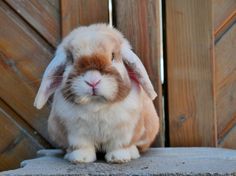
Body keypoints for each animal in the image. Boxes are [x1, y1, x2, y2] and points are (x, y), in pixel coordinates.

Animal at [33, 23, 159, 164]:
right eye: (71, 59)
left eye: (113, 56)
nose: (92, 81)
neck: (96, 104)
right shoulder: (76, 133)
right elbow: (82, 146)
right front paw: (81, 159)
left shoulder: (124, 131)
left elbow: (119, 146)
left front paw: (118, 158)